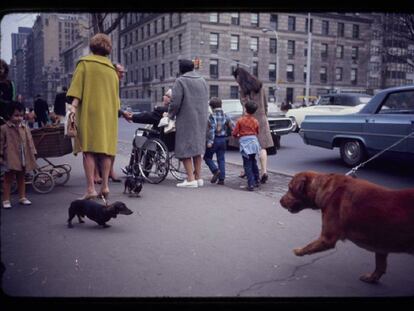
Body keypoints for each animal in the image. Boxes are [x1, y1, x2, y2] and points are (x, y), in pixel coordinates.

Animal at [278, 172, 414, 284]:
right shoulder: (381, 243)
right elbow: (380, 265)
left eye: (290, 188)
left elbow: (309, 246)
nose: (280, 201)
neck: (324, 187)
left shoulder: (327, 238)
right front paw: (372, 278)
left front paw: (298, 251)